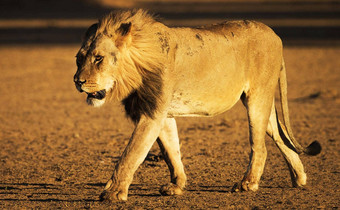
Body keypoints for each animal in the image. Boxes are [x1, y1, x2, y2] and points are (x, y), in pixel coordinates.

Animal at [73, 9, 320, 202]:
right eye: (79, 59)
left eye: (98, 58)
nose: (77, 81)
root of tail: (275, 35)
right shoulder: (162, 114)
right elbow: (171, 151)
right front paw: (177, 185)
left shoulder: (152, 113)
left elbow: (131, 153)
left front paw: (113, 193)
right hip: (262, 102)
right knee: (280, 134)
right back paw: (299, 178)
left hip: (257, 97)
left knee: (260, 146)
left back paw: (248, 183)